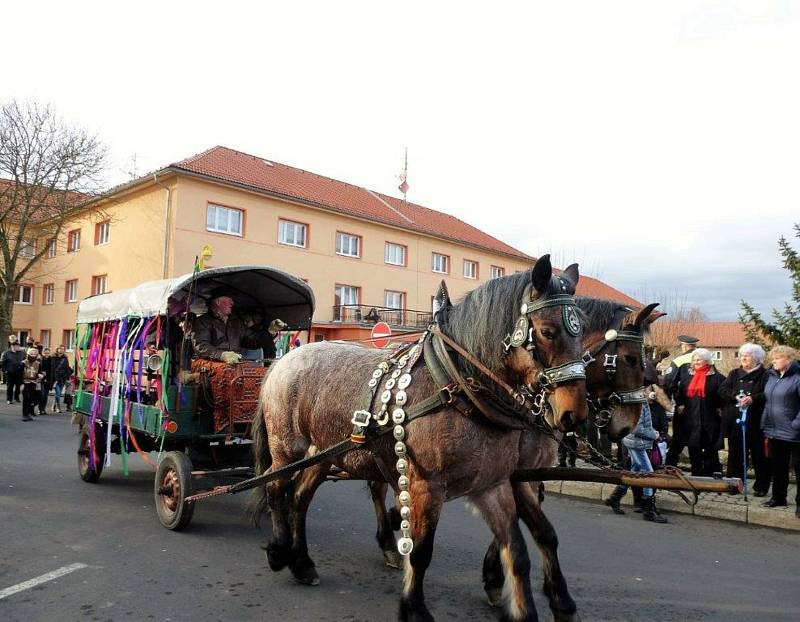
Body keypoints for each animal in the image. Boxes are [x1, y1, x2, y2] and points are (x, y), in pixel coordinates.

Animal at [253, 256, 592, 620]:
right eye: (547, 332)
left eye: (582, 334)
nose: (574, 414)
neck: (457, 386)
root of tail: (283, 360)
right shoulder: (427, 485)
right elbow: (420, 550)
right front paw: (413, 608)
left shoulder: (494, 484)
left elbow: (519, 549)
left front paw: (535, 603)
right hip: (287, 447)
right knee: (276, 488)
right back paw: (279, 551)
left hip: (324, 453)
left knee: (300, 498)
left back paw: (302, 563)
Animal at [368, 298, 664, 622]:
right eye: (631, 359)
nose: (628, 426)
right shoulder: (513, 476)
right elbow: (533, 529)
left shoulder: (521, 475)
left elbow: (527, 530)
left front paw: (501, 579)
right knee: (377, 487)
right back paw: (388, 538)